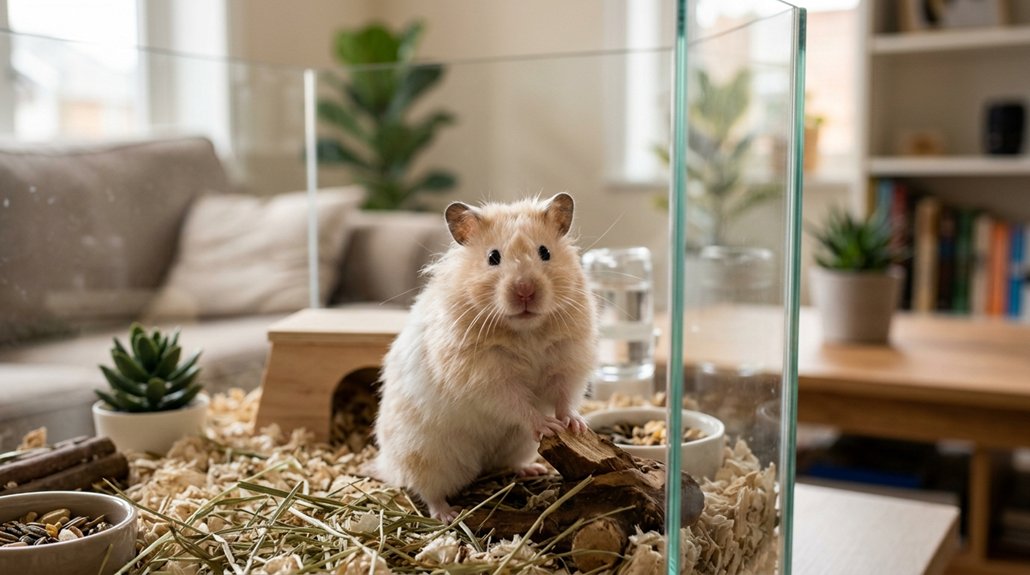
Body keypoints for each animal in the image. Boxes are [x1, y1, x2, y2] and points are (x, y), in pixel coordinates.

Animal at [372, 192, 598, 522]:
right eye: (493, 257)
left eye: (545, 252)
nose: (525, 291)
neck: (525, 332)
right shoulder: (485, 380)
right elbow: (517, 404)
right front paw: (549, 426)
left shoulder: (568, 362)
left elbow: (564, 396)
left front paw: (575, 425)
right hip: (427, 456)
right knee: (427, 490)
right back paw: (447, 513)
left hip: (516, 446)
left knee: (506, 464)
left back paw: (533, 469)